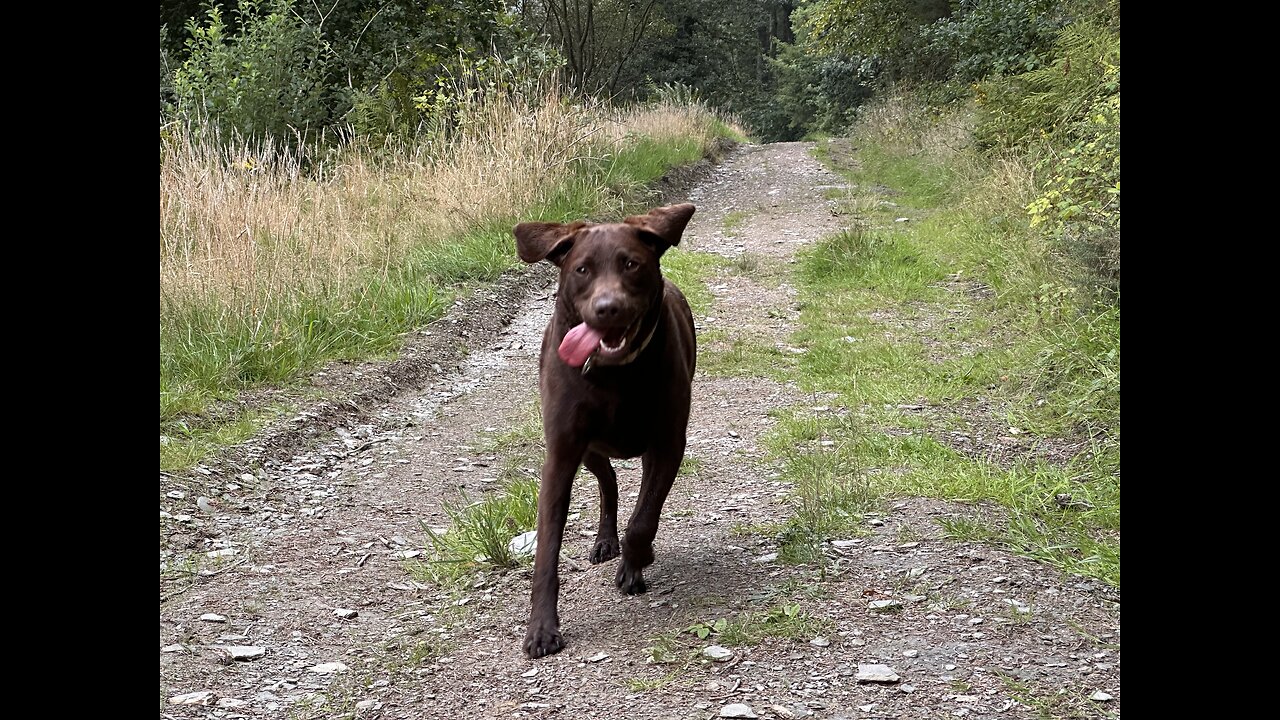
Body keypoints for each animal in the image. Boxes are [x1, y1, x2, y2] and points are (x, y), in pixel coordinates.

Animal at [512, 202, 701, 655]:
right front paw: (541, 629)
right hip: (590, 450)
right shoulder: (562, 455)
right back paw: (604, 540)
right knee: (608, 481)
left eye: (631, 264)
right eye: (581, 269)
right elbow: (547, 552)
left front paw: (637, 561)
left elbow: (644, 519)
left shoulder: (668, 444)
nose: (607, 307)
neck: (615, 375)